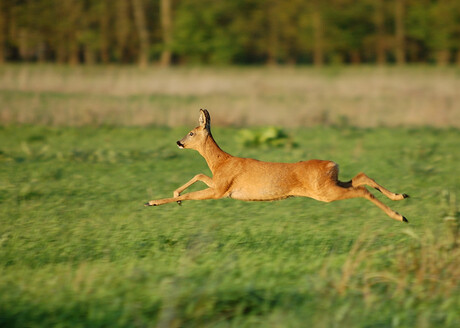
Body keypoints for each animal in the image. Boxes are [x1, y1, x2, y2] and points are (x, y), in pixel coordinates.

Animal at [145, 110, 410, 223]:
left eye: (191, 132)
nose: (179, 142)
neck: (222, 162)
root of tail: (332, 164)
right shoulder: (219, 183)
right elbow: (199, 173)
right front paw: (175, 196)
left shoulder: (221, 190)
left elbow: (193, 193)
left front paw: (153, 201)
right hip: (330, 183)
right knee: (361, 177)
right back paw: (401, 196)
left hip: (324, 192)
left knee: (361, 189)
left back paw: (400, 217)